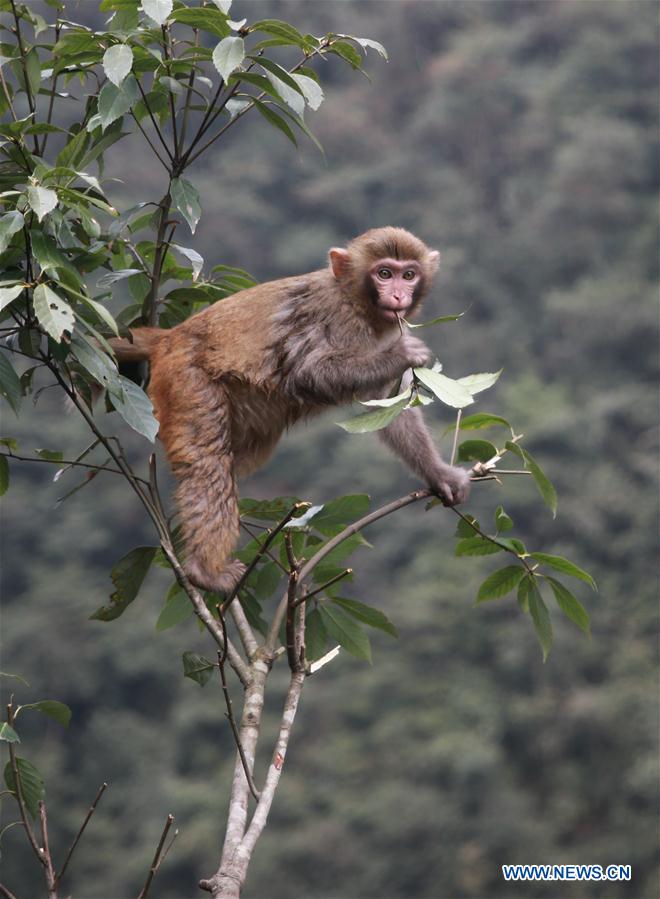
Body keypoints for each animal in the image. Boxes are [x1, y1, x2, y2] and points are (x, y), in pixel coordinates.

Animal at [109, 229, 470, 596]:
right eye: (384, 273)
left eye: (408, 274)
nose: (398, 294)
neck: (357, 301)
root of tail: (170, 338)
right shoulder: (339, 319)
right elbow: (306, 372)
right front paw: (401, 355)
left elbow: (389, 405)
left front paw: (438, 474)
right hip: (186, 379)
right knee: (208, 463)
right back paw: (204, 571)